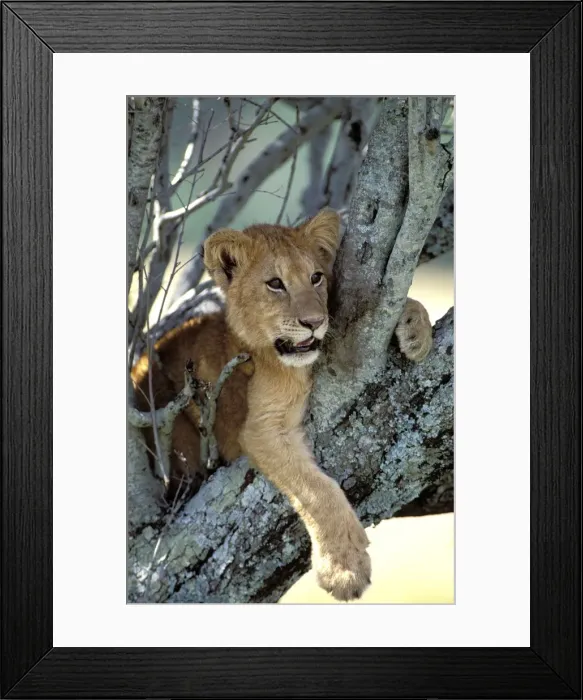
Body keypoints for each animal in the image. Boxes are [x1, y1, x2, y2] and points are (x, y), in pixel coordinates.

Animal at [131, 209, 433, 601]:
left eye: (316, 277)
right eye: (275, 284)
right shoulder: (260, 428)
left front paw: (415, 331)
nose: (315, 322)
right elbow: (317, 490)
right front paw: (344, 569)